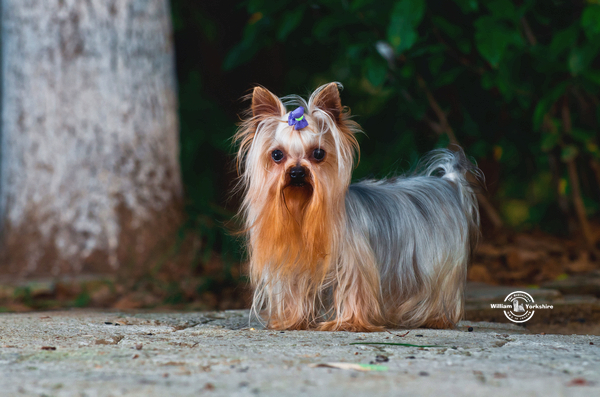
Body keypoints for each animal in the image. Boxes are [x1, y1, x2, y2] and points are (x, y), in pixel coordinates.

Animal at [232, 82, 480, 330]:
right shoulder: (293, 262)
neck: (302, 207)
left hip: (439, 259)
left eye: (318, 153)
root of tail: (447, 182)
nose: (297, 172)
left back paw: (436, 318)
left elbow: (355, 287)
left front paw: (350, 322)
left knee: (440, 287)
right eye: (277, 154)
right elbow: (295, 290)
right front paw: (294, 320)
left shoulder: (355, 261)